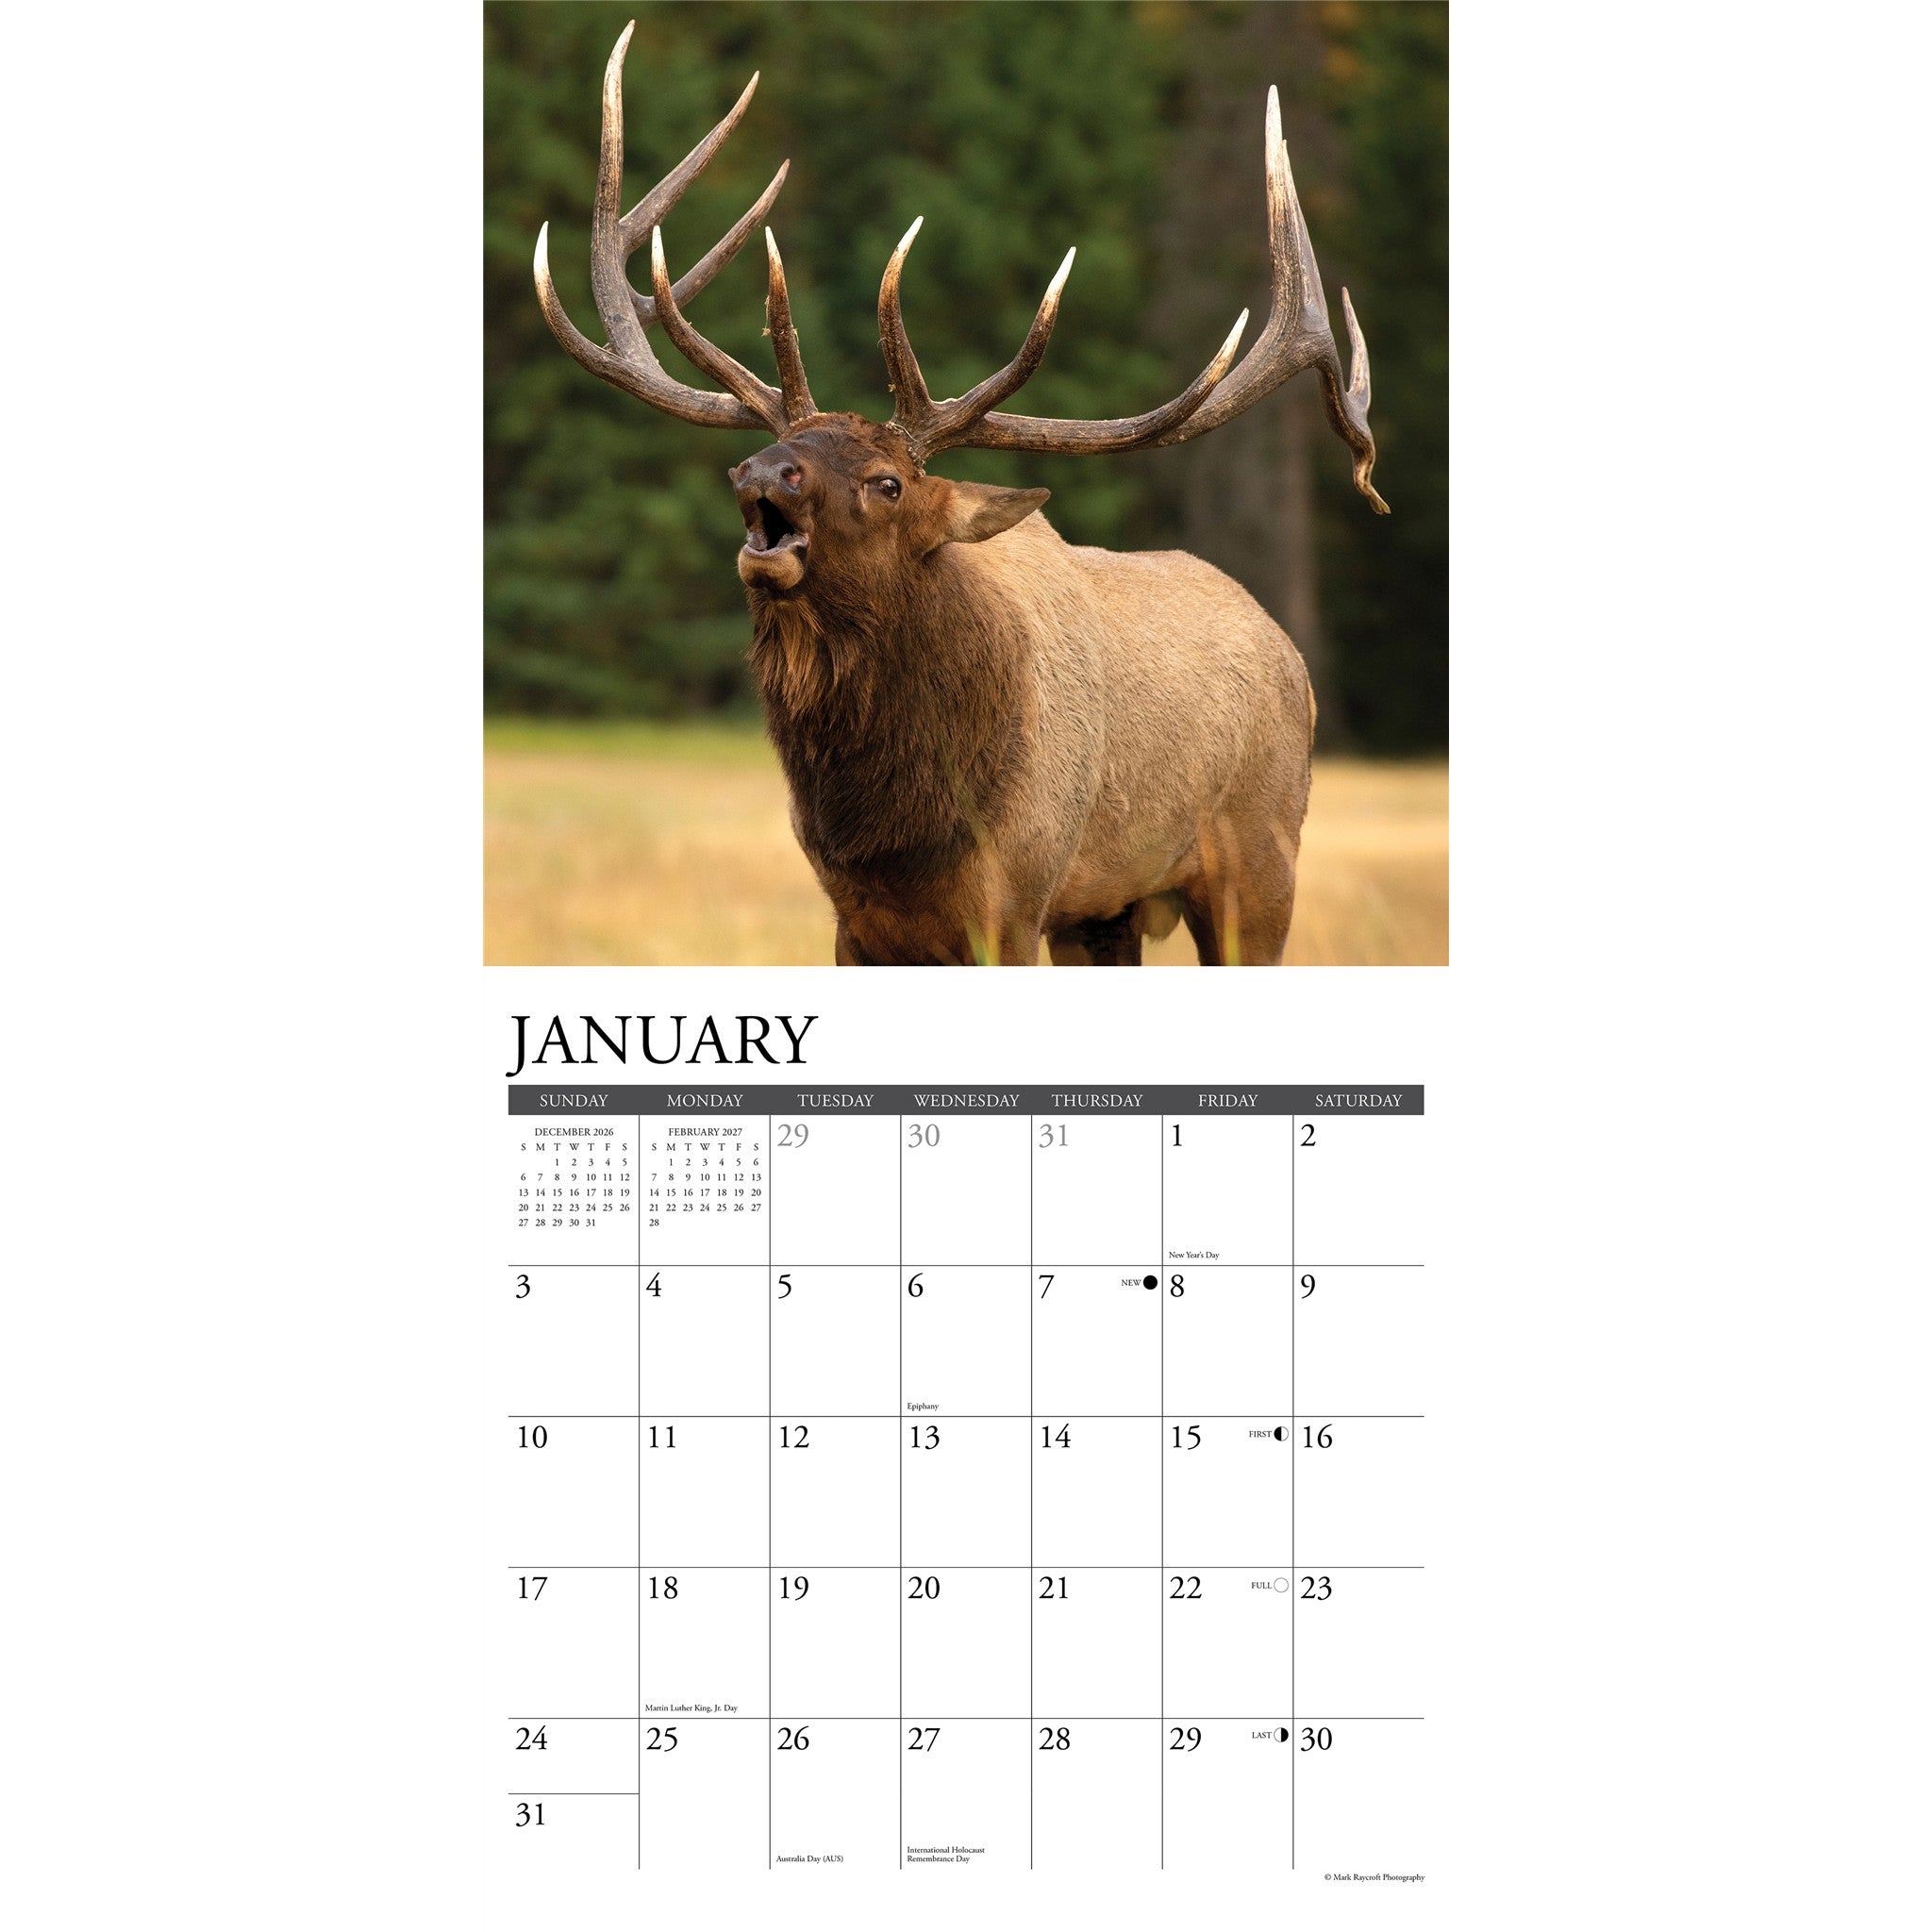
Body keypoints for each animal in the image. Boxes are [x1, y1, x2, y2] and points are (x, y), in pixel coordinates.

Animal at [535, 24, 1387, 965]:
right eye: (768, 450)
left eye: (889, 483)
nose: (759, 473)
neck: (896, 833)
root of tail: (1290, 657)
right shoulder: (856, 923)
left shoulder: (1011, 903)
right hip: (1109, 909)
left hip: (1258, 866)